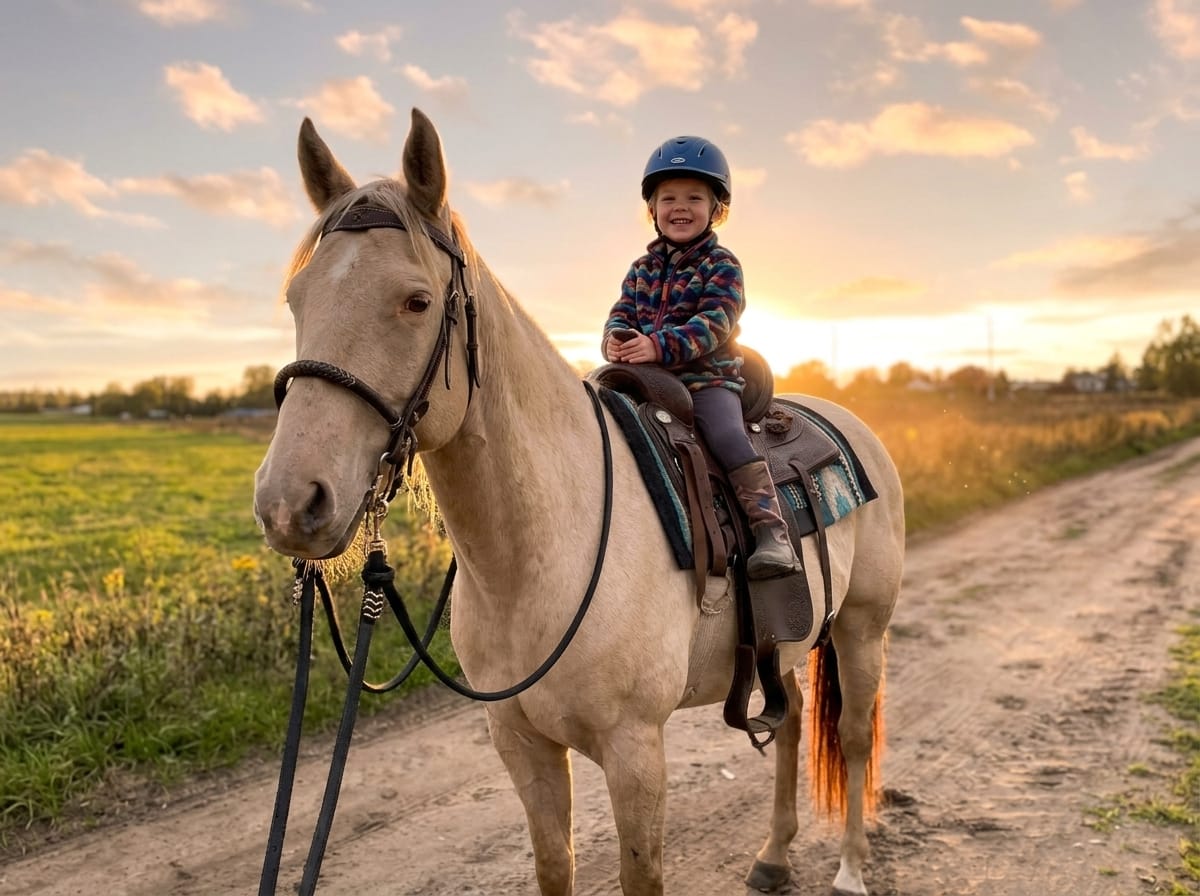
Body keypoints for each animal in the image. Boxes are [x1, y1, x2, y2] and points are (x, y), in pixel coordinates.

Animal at [253, 108, 905, 896]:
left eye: (416, 301)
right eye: (297, 299)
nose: (290, 502)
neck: (541, 551)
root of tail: (851, 427)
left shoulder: (635, 752)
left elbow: (640, 874)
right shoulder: (522, 745)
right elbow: (553, 866)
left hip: (862, 628)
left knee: (853, 735)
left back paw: (849, 870)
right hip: (788, 646)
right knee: (795, 719)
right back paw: (774, 856)